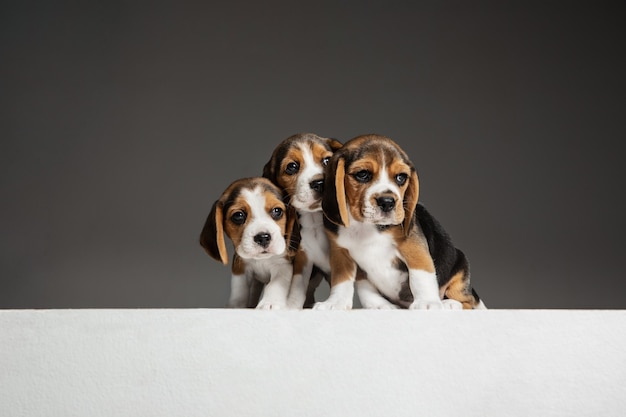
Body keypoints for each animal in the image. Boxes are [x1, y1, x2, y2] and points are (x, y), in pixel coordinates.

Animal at [200, 176, 298, 308]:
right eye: (238, 215)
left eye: (277, 211)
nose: (263, 237)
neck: (261, 260)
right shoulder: (240, 266)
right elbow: (239, 288)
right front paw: (235, 305)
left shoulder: (283, 264)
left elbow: (275, 284)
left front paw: (270, 303)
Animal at [262, 133, 344, 308]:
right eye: (292, 166)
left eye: (327, 160)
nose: (320, 183)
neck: (315, 222)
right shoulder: (303, 258)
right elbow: (296, 288)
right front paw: (291, 306)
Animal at [314, 133, 486, 308]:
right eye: (362, 174)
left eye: (401, 178)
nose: (387, 202)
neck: (366, 227)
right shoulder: (340, 254)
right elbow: (346, 283)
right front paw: (339, 303)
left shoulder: (414, 248)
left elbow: (421, 276)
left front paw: (427, 303)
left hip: (460, 265)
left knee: (468, 302)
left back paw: (449, 304)